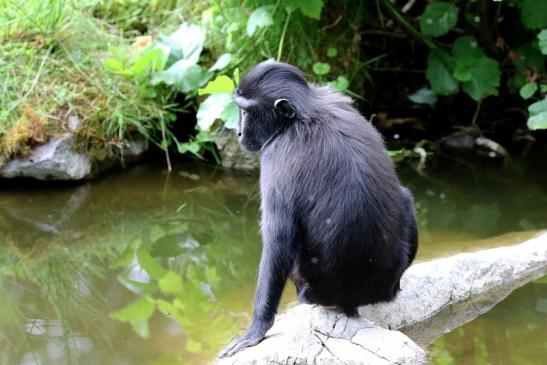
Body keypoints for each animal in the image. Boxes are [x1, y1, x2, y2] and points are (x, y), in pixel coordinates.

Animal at [220, 61, 418, 356]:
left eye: (245, 111)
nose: (239, 132)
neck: (305, 113)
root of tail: (353, 297)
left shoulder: (276, 154)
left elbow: (279, 239)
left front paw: (256, 329)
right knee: (405, 196)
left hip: (309, 285)